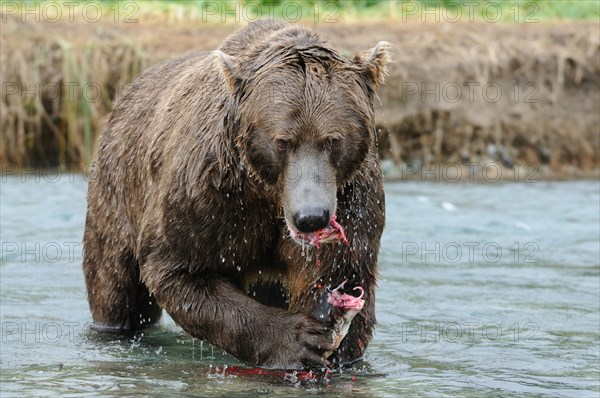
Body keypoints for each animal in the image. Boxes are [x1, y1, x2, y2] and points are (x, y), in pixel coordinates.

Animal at [84, 21, 392, 370]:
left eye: (333, 140)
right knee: (115, 287)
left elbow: (339, 274)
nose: (311, 217)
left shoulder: (353, 202)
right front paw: (297, 341)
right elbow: (178, 267)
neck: (269, 198)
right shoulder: (210, 196)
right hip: (117, 193)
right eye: (282, 141)